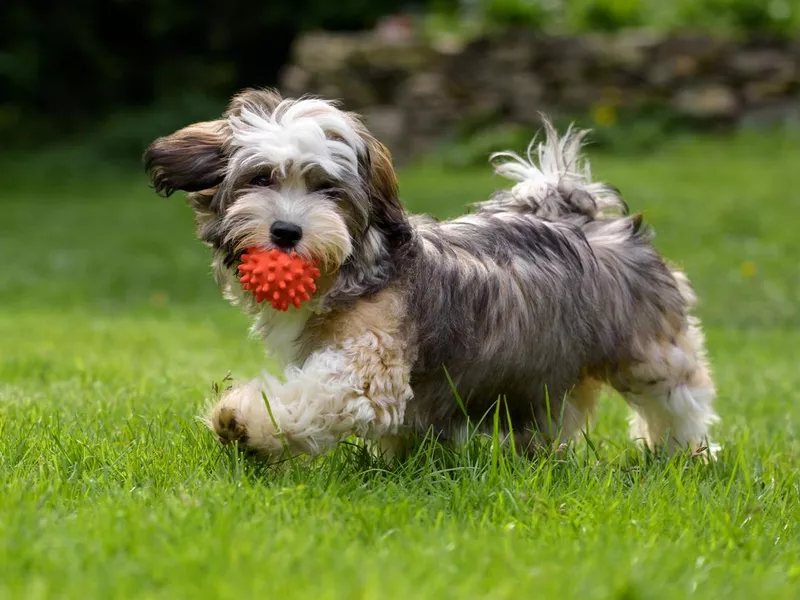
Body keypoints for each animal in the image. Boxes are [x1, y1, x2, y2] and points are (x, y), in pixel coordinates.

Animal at [142, 86, 720, 460]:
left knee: (679, 397)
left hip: (648, 349)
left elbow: (317, 396)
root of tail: (587, 219)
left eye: (328, 190)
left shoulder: (367, 367)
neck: (352, 271)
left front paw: (244, 421)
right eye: (261, 178)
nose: (286, 232)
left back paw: (686, 454)